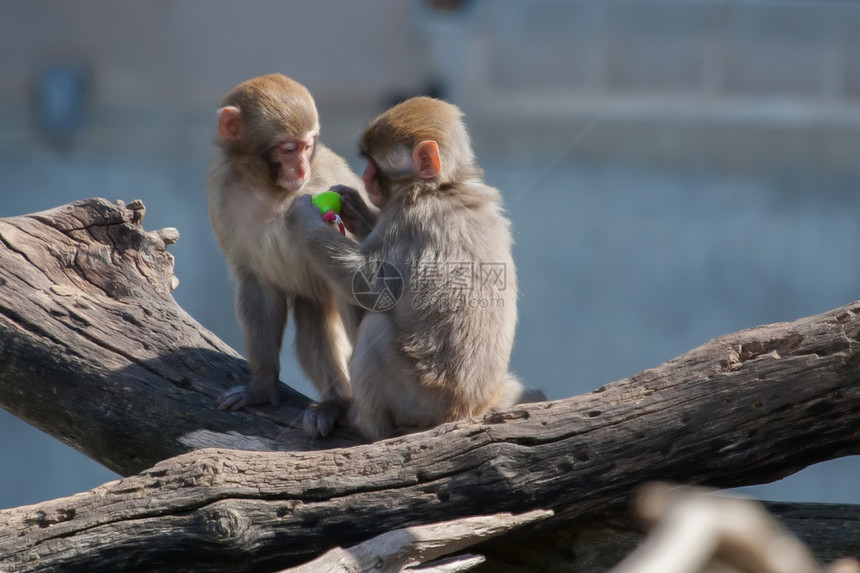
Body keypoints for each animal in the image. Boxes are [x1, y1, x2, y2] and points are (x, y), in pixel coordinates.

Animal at [210, 72, 372, 438]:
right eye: (288, 148)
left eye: (308, 145)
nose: (301, 169)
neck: (270, 189)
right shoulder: (221, 194)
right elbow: (257, 287)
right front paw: (260, 387)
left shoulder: (328, 180)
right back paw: (336, 400)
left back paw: (342, 404)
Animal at [288, 97, 532, 438]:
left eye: (374, 163)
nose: (364, 178)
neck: (442, 187)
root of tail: (464, 410)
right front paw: (352, 206)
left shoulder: (406, 222)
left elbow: (374, 291)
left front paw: (304, 218)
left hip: (418, 399)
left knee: (374, 327)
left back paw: (370, 428)